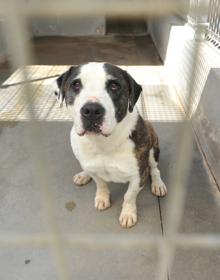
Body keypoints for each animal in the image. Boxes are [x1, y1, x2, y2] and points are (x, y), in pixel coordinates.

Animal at [54, 62, 167, 229]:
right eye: (76, 84)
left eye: (114, 86)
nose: (91, 110)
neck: (103, 143)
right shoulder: (94, 169)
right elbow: (100, 183)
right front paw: (102, 197)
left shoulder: (139, 175)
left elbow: (129, 196)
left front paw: (128, 213)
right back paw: (83, 174)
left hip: (153, 146)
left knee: (155, 169)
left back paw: (158, 184)